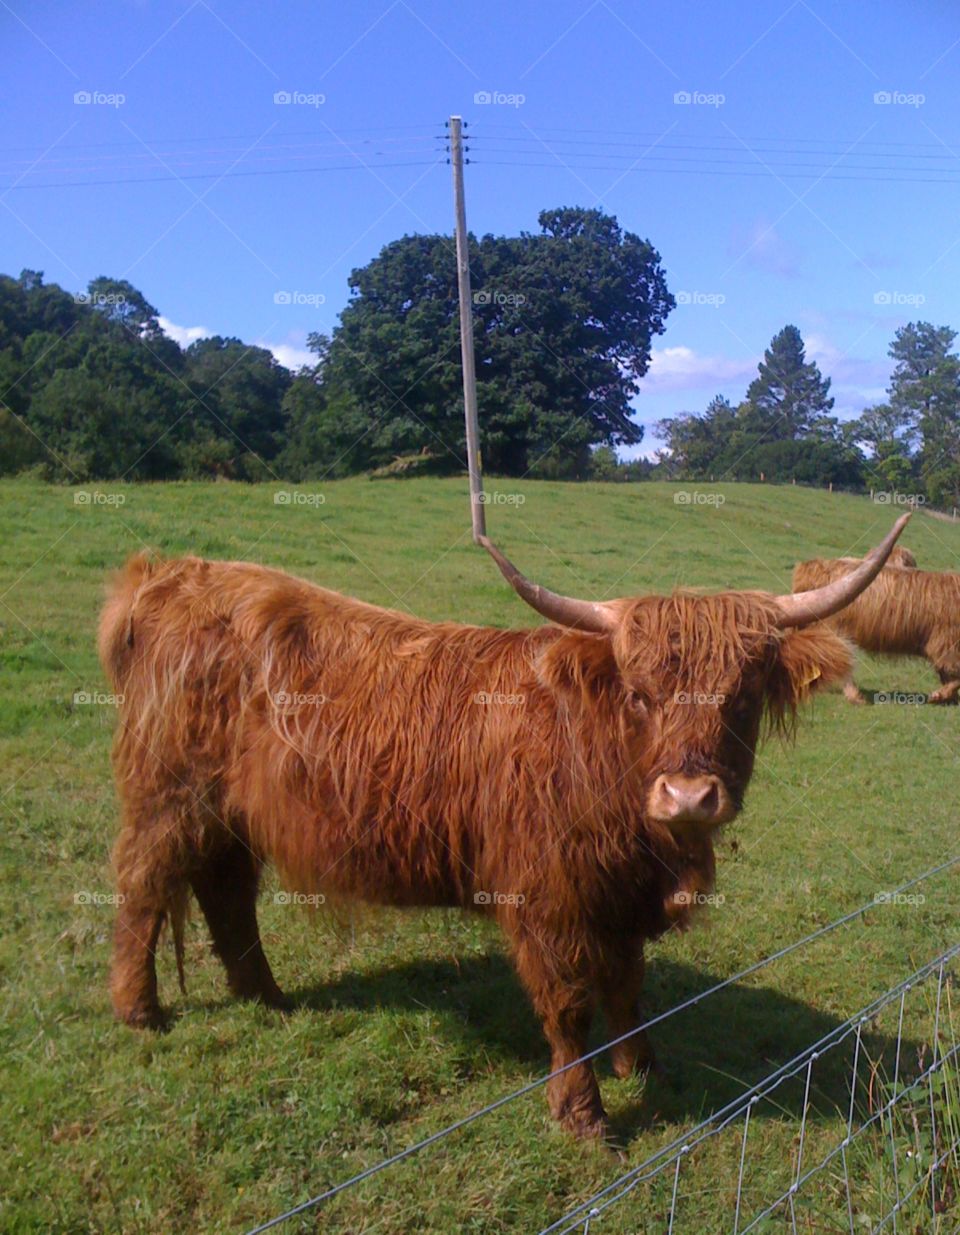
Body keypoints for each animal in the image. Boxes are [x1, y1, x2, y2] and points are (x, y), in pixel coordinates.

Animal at [99, 514, 908, 1138]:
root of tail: (171, 573)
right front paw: (584, 1115)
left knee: (225, 891)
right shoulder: (547, 897)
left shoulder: (618, 897)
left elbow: (627, 985)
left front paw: (641, 1065)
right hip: (168, 795)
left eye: (741, 697)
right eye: (640, 695)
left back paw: (265, 996)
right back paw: (140, 1011)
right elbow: (569, 1005)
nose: (687, 795)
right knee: (143, 885)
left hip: (226, 814)